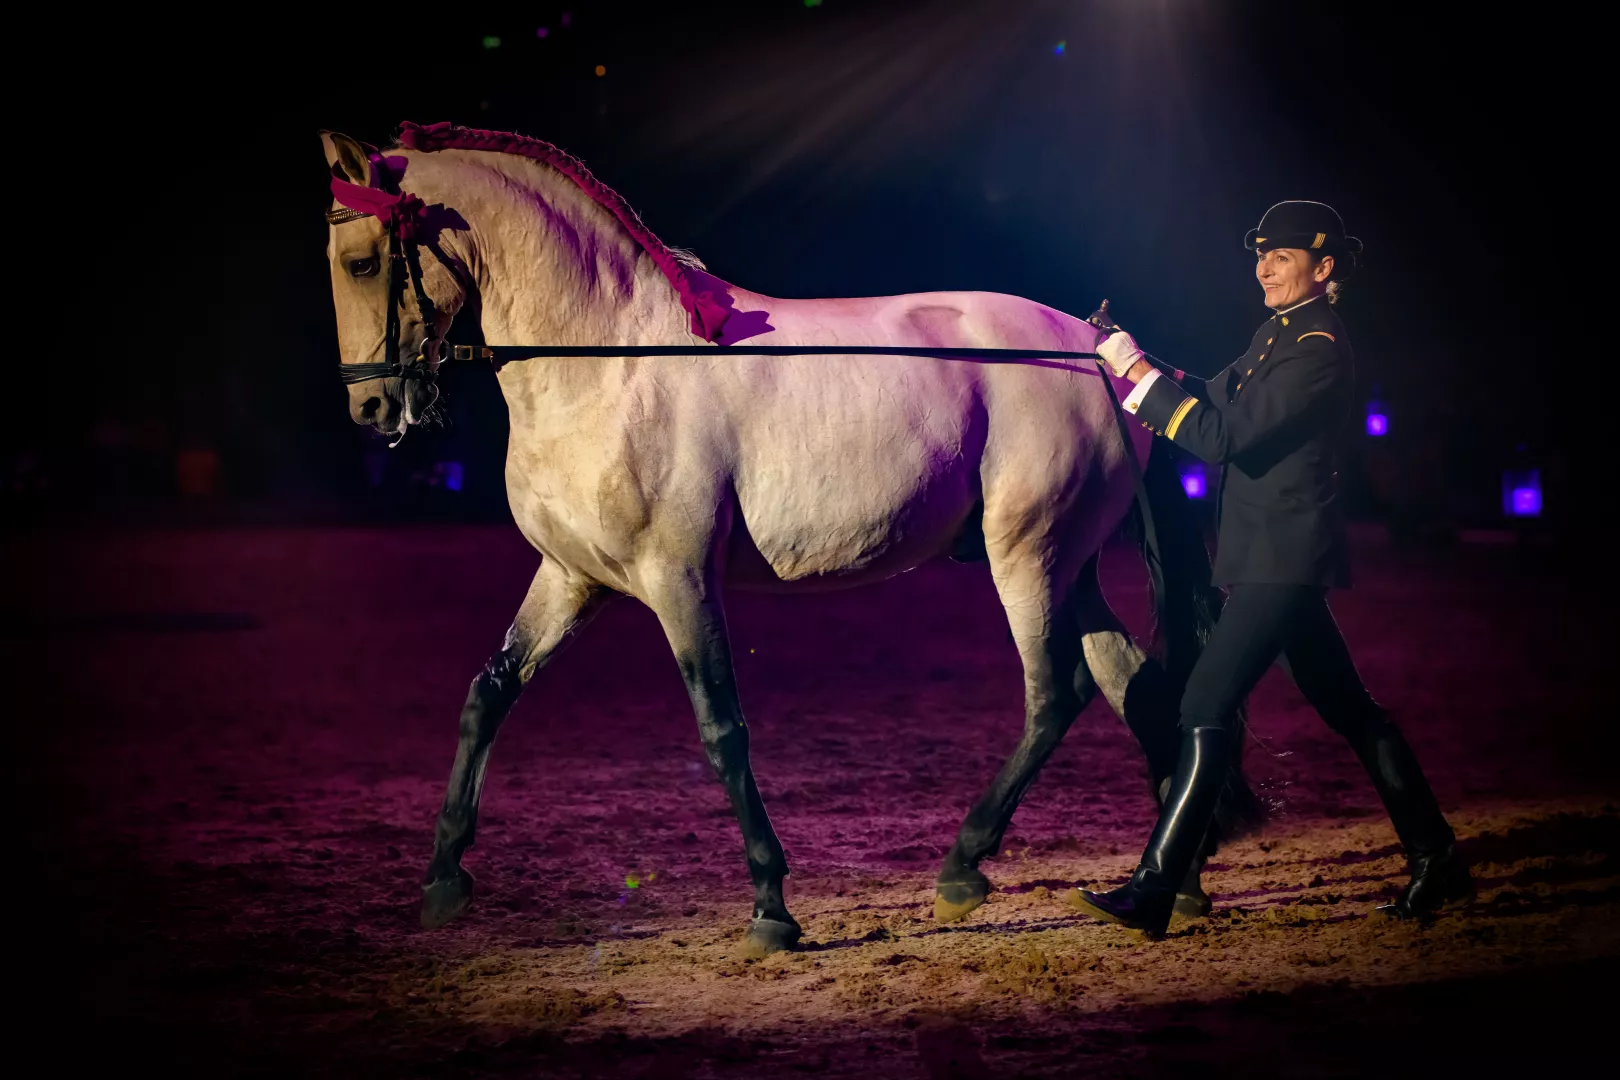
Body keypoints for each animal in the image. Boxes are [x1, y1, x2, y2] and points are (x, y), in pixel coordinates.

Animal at [319, 122, 1250, 958]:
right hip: (1069, 562)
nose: (369, 410)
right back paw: (1174, 888)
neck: (611, 362)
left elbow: (721, 728)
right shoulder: (572, 576)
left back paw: (964, 868)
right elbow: (489, 693)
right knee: (1133, 686)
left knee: (1055, 694)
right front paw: (443, 880)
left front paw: (771, 905)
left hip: (1027, 553)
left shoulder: (679, 578)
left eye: (362, 262)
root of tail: (1100, 352)